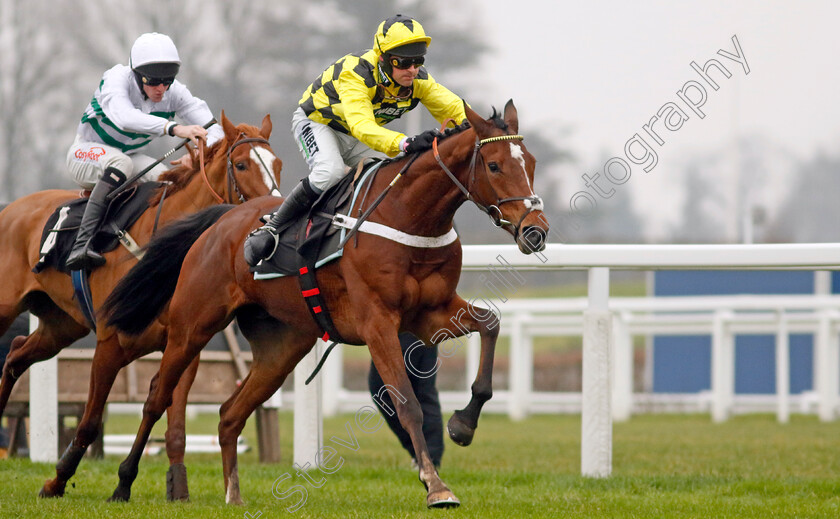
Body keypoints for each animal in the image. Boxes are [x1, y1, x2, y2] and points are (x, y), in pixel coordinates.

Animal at [0, 112, 284, 500]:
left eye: (278, 164)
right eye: (241, 165)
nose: (276, 213)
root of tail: (13, 208)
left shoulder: (185, 345)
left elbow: (165, 415)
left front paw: (162, 486)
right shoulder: (111, 344)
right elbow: (90, 422)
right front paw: (58, 480)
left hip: (61, 326)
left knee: (15, 354)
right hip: (6, 306)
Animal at [103, 100, 552, 508]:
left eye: (530, 162)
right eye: (494, 166)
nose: (535, 231)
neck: (408, 215)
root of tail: (220, 220)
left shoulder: (431, 314)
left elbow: (491, 326)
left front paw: (463, 425)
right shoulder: (378, 323)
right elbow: (407, 404)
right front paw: (437, 487)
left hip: (280, 348)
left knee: (230, 413)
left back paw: (233, 495)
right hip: (191, 326)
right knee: (157, 396)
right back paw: (122, 483)